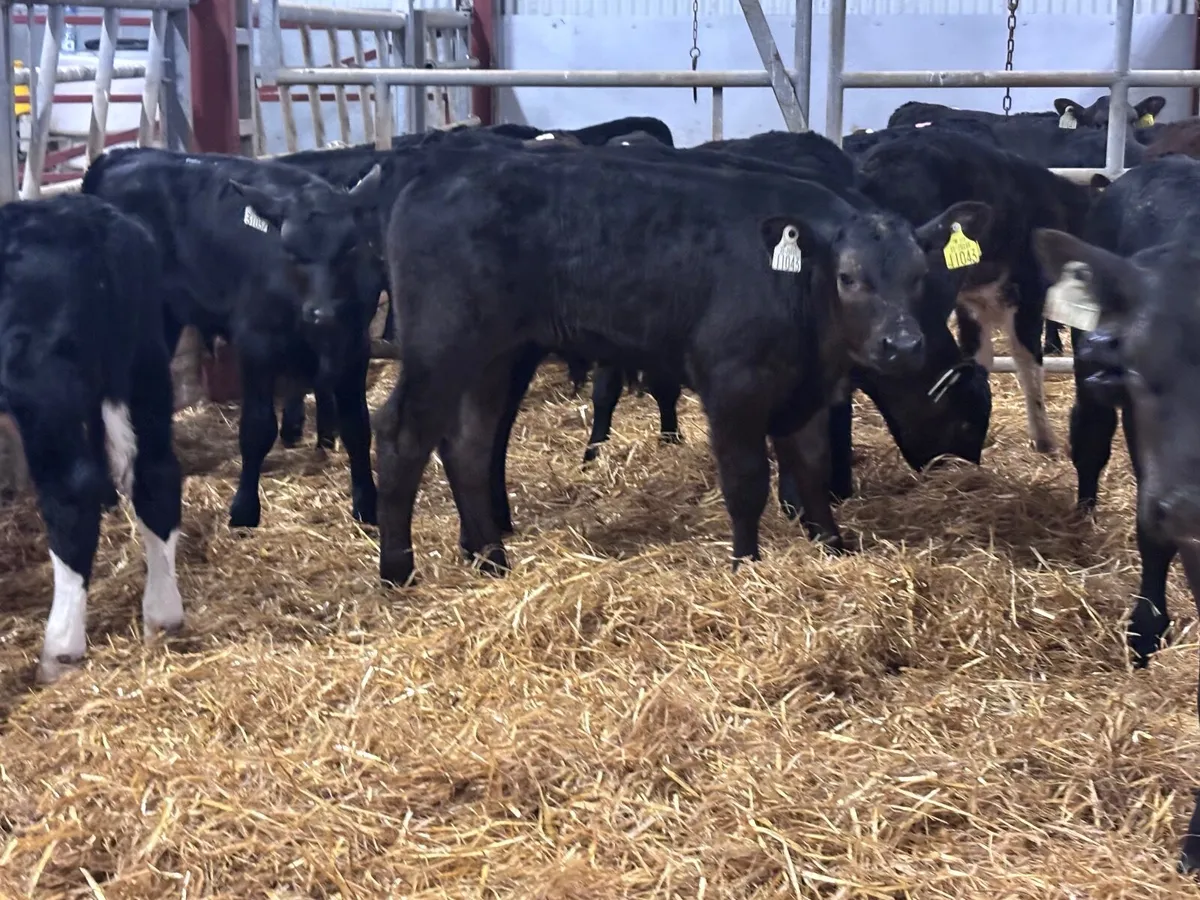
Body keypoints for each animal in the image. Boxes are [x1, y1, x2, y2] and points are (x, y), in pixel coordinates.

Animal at [0, 193, 185, 683]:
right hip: (146, 366)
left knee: (72, 496)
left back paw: (59, 650)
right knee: (157, 476)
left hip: (45, 393)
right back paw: (163, 614)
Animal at [81, 146, 382, 529]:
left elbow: (358, 425)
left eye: (349, 248)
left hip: (163, 318)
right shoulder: (257, 344)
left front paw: (367, 504)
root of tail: (118, 154)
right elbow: (256, 428)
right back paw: (105, 493)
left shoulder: (355, 345)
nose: (321, 313)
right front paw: (244, 509)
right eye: (290, 251)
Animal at [368, 139, 991, 586]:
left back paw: (491, 557)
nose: (901, 344)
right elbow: (747, 480)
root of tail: (434, 172)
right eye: (849, 277)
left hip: (495, 355)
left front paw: (832, 548)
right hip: (442, 344)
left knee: (468, 445)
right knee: (402, 434)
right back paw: (398, 569)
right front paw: (747, 564)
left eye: (918, 276)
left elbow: (812, 468)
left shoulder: (808, 392)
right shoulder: (733, 385)